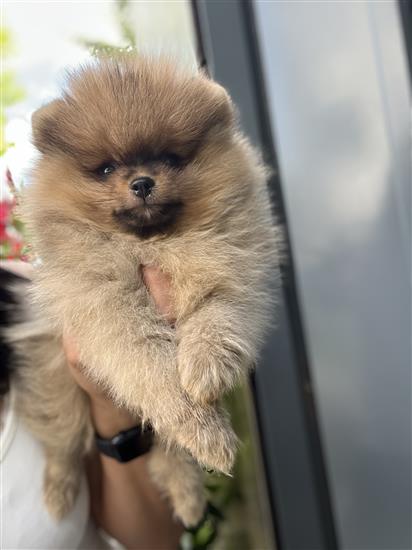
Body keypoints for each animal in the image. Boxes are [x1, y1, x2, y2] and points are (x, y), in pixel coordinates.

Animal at [8, 57, 280, 532]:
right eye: (104, 169)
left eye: (170, 158)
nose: (141, 182)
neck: (155, 244)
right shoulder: (107, 310)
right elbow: (154, 369)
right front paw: (205, 427)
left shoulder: (237, 268)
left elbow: (220, 316)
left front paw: (206, 368)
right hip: (54, 380)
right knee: (63, 439)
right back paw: (59, 492)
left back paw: (189, 495)